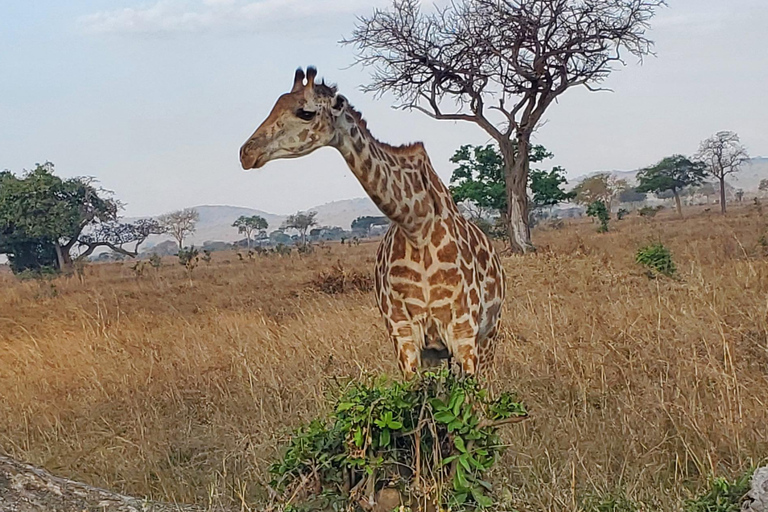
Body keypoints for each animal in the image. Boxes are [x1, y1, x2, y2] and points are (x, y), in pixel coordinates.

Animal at [238, 67, 504, 376]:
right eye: (275, 105)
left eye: (305, 112)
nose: (246, 152)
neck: (416, 224)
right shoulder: (403, 333)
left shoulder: (463, 330)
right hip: (436, 352)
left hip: (489, 335)